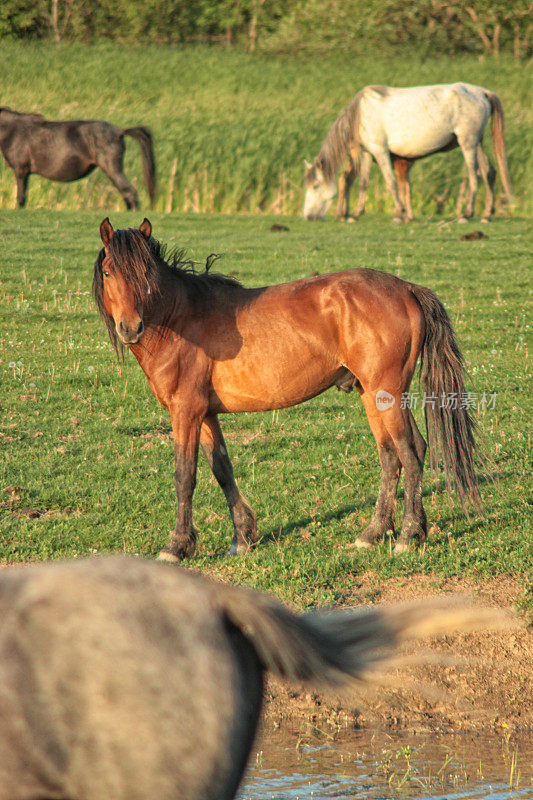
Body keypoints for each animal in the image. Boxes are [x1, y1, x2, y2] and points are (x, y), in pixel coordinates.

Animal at [0, 108, 156, 211]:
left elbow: (21, 198)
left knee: (130, 193)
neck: (14, 131)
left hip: (112, 169)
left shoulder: (21, 170)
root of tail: (119, 131)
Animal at [93, 216, 480, 560]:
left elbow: (184, 476)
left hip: (386, 394)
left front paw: (177, 547)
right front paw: (242, 538)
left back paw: (408, 535)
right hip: (373, 395)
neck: (181, 319)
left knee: (409, 453)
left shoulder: (185, 412)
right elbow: (222, 469)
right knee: (393, 455)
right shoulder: (205, 415)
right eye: (110, 272)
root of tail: (406, 289)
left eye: (145, 273)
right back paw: (374, 533)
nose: (130, 328)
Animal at [306, 82, 512, 222]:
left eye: (315, 185)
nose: (308, 216)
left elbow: (391, 182)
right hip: (478, 142)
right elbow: (364, 182)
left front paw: (399, 213)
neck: (360, 113)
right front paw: (356, 213)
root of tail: (482, 92)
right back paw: (487, 213)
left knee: (474, 175)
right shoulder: (368, 152)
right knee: (489, 172)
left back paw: (468, 213)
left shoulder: (380, 151)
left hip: (468, 143)